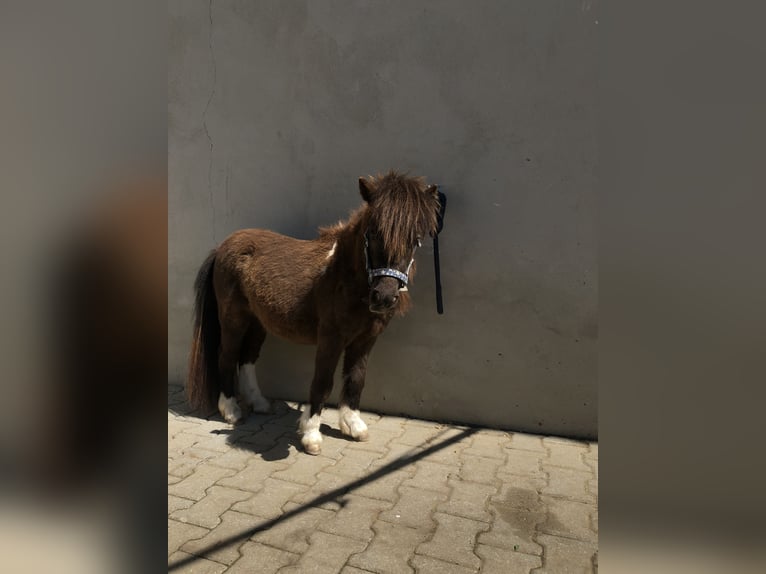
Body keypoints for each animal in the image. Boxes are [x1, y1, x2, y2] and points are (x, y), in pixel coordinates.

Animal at [186, 171, 440, 454]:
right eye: (372, 233)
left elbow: (356, 377)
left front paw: (353, 425)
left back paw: (260, 403)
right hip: (233, 320)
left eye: (415, 239)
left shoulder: (367, 338)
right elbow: (323, 381)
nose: (384, 298)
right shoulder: (331, 338)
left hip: (257, 322)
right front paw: (311, 434)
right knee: (227, 356)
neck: (342, 276)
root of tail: (222, 247)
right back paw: (231, 410)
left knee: (248, 357)